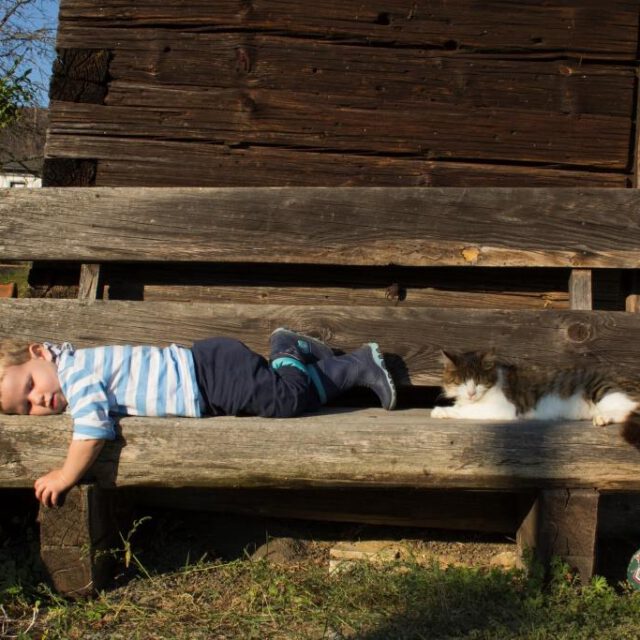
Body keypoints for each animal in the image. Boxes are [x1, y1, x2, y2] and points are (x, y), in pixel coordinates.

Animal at [431, 350, 640, 449]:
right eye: (461, 381)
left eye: (479, 381)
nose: (471, 392)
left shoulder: (504, 408)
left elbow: (466, 410)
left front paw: (442, 410)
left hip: (603, 390)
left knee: (628, 408)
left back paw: (603, 417)